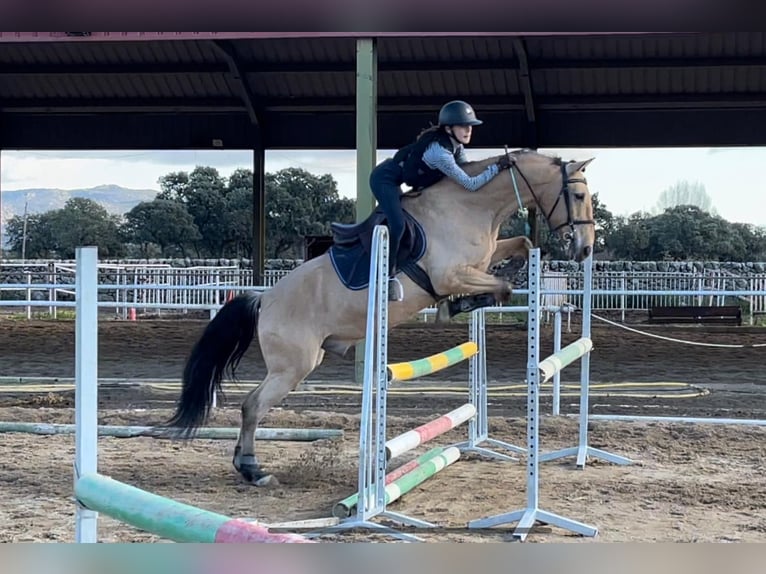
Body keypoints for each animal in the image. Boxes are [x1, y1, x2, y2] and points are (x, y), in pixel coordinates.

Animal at [162, 148, 596, 486]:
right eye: (577, 194)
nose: (585, 249)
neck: (469, 205)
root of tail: (264, 298)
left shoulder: (480, 260)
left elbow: (519, 245)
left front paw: (510, 275)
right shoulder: (450, 274)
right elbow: (498, 287)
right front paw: (457, 306)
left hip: (303, 360)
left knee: (253, 405)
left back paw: (245, 465)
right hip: (292, 366)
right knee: (253, 405)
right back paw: (253, 470)